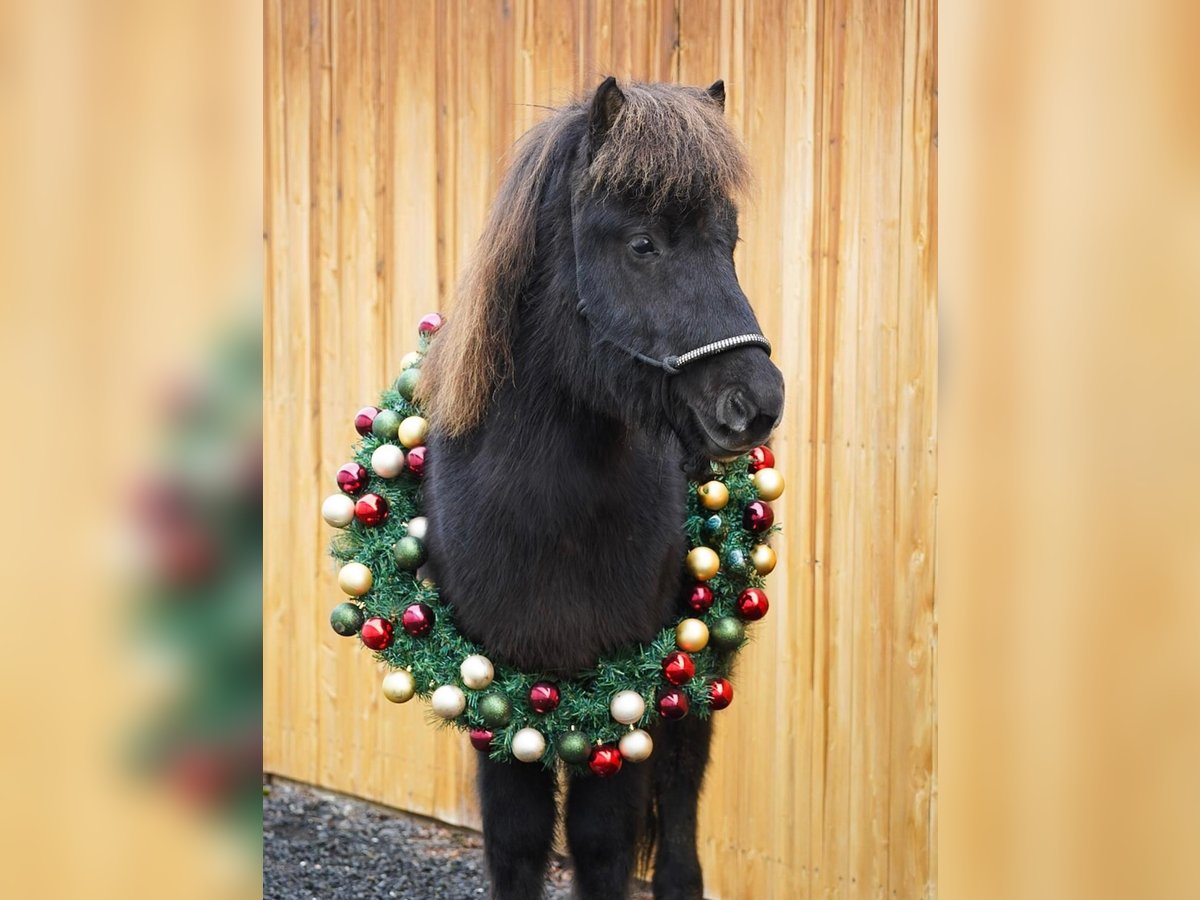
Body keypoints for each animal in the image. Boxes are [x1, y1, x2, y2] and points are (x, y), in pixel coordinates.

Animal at [422, 77, 787, 900]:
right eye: (642, 244)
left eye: (729, 242)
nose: (757, 402)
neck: (547, 519)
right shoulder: (498, 696)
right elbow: (518, 845)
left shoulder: (626, 705)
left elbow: (603, 847)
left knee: (680, 811)